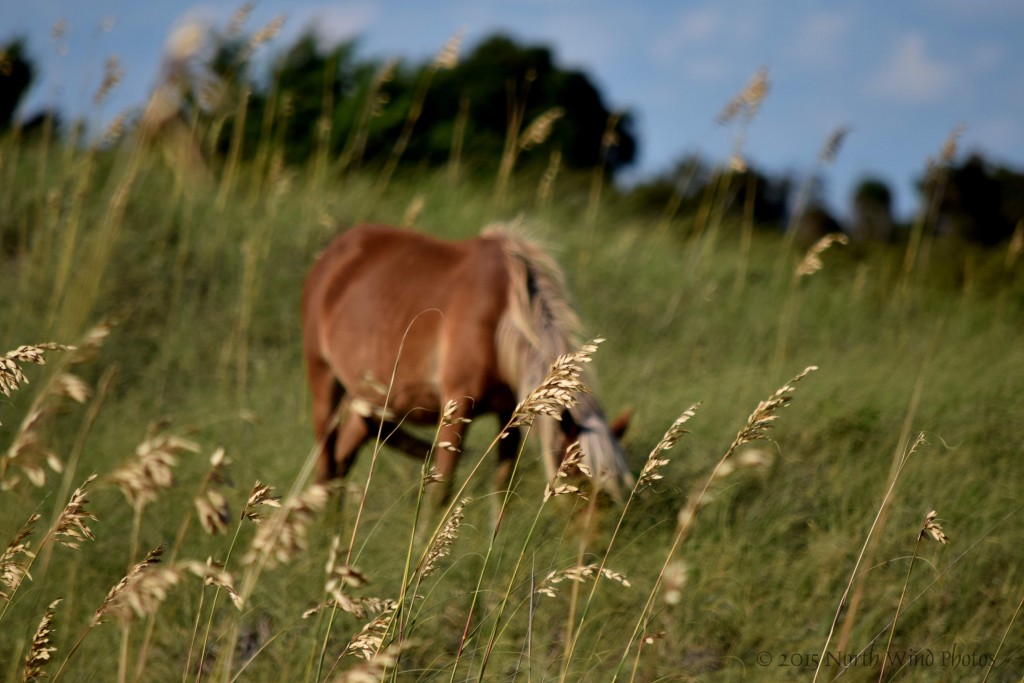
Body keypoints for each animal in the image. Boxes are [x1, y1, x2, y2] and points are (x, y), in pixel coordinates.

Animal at [299, 224, 630, 501]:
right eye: (575, 482)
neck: (504, 318)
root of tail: (334, 251)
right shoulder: (457, 406)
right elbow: (441, 491)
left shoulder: (509, 413)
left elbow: (502, 487)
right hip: (324, 382)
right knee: (326, 465)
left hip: (372, 401)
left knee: (341, 463)